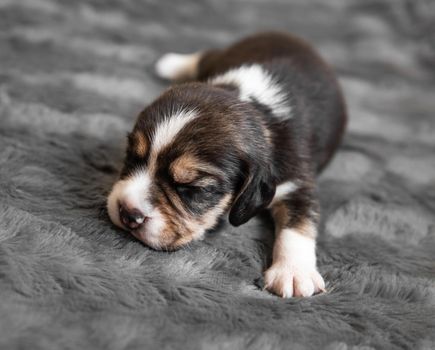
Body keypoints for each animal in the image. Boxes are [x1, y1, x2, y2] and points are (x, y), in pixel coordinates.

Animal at [108, 31, 348, 298]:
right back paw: (170, 63)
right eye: (131, 156)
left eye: (192, 189)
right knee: (206, 54)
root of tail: (288, 35)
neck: (251, 105)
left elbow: (298, 224)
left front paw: (294, 272)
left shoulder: (297, 182)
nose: (128, 213)